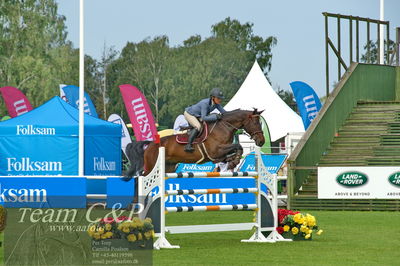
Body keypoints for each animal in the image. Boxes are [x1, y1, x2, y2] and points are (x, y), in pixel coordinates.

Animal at [125, 109, 266, 178]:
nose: (262, 141)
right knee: (142, 177)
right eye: (255, 122)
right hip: (152, 166)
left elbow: (235, 150)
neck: (224, 126)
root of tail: (150, 145)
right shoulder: (215, 151)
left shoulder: (219, 153)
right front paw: (234, 161)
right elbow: (238, 146)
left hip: (169, 167)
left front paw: (232, 161)